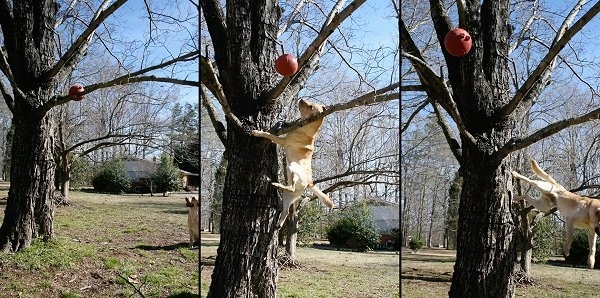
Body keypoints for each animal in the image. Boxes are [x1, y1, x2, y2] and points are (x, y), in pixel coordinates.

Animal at [251, 99, 336, 227]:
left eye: (311, 106)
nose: (301, 99)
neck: (306, 128)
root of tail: (310, 182)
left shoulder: (282, 141)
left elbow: (269, 134)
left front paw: (257, 132)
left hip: (292, 167)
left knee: (291, 187)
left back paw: (277, 185)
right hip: (288, 196)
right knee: (286, 210)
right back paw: (279, 223)